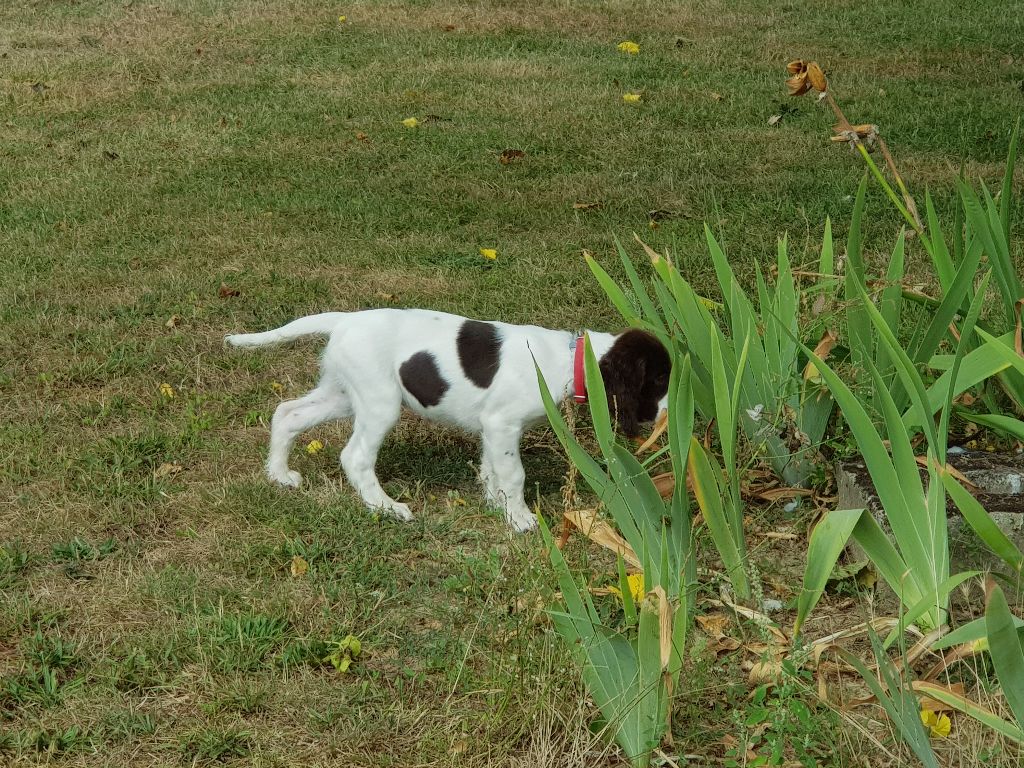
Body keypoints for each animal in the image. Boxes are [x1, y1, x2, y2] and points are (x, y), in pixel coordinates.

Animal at [227, 309, 667, 532]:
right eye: (660, 380)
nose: (669, 417)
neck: (570, 358)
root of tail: (345, 319)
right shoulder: (502, 424)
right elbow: (514, 475)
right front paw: (522, 519)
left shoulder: (493, 429)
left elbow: (491, 470)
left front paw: (496, 506)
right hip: (379, 401)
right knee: (355, 457)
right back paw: (386, 507)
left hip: (342, 393)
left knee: (287, 413)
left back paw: (279, 475)